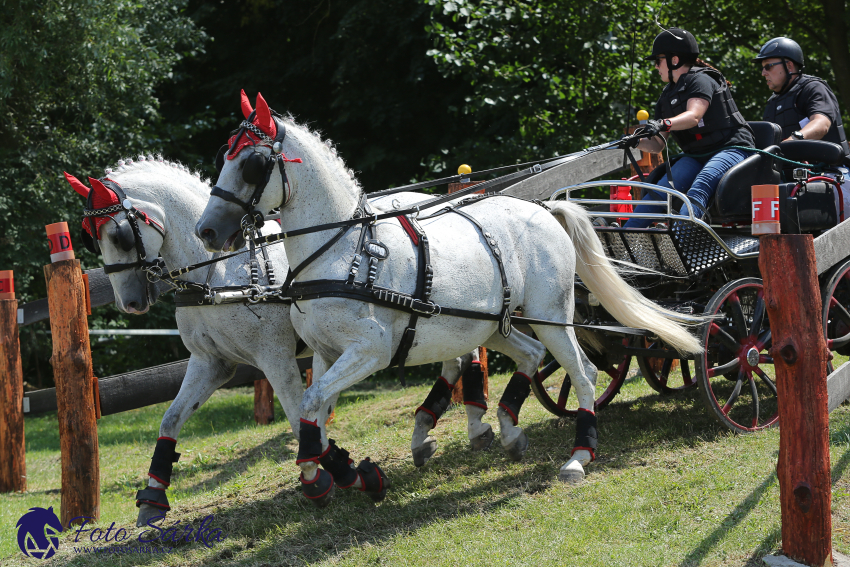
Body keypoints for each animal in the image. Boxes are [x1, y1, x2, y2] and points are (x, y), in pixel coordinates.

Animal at [194, 93, 704, 506]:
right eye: (223, 156)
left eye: (251, 164)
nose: (207, 231)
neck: (343, 250)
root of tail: (543, 209)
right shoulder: (325, 353)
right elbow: (313, 409)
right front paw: (338, 471)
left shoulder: (371, 351)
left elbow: (311, 402)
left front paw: (328, 474)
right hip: (490, 324)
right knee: (530, 354)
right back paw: (509, 430)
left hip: (551, 315)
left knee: (583, 372)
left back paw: (579, 455)